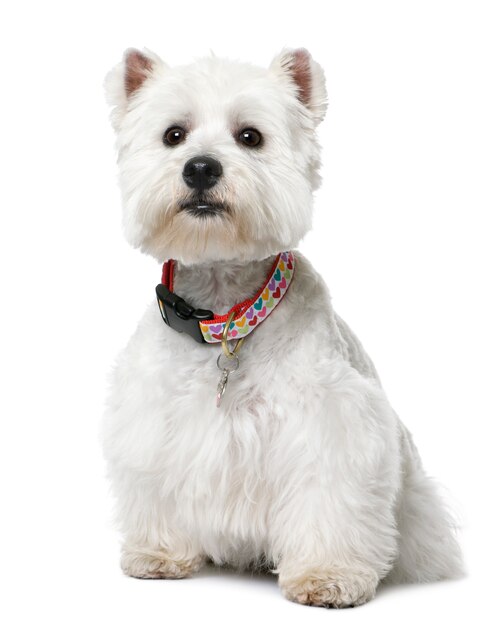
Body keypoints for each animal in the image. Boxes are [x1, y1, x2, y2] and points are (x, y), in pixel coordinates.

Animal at [101, 47, 464, 604]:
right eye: (173, 135)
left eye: (250, 136)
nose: (201, 167)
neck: (227, 316)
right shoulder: (152, 422)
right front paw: (158, 554)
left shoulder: (331, 428)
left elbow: (328, 498)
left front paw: (327, 575)